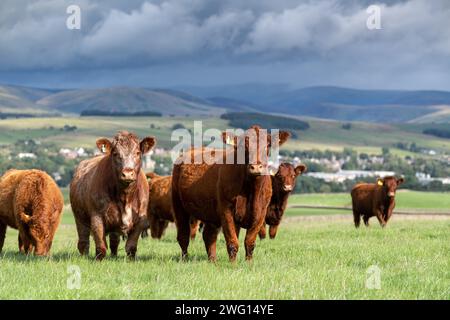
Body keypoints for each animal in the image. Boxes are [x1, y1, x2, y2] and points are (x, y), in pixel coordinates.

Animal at [171, 125, 290, 262]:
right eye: (244, 146)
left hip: (210, 214)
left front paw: (249, 263)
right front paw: (233, 264)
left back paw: (213, 261)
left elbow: (250, 242)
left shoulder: (260, 214)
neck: (251, 190)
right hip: (178, 206)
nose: (256, 167)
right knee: (183, 236)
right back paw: (185, 259)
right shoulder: (226, 210)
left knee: (209, 236)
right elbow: (233, 242)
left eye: (268, 145)